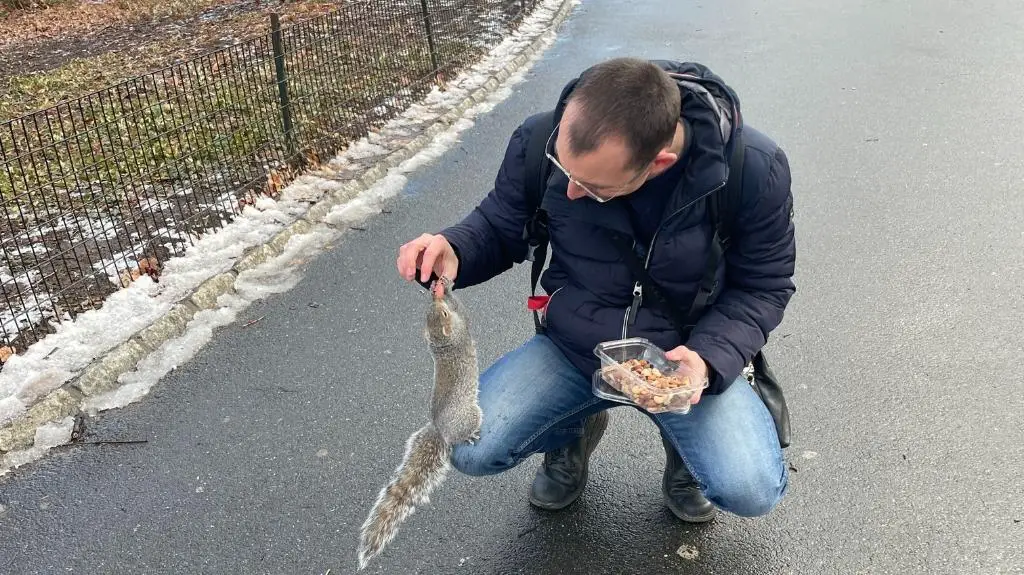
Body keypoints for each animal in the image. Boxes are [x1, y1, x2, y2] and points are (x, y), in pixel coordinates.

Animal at [356, 276, 483, 564]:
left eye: (432, 314)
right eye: (441, 315)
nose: (434, 298)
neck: (440, 344)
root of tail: (440, 430)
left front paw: (441, 285)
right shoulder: (461, 329)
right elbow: (464, 313)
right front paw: (446, 290)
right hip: (471, 415)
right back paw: (470, 435)